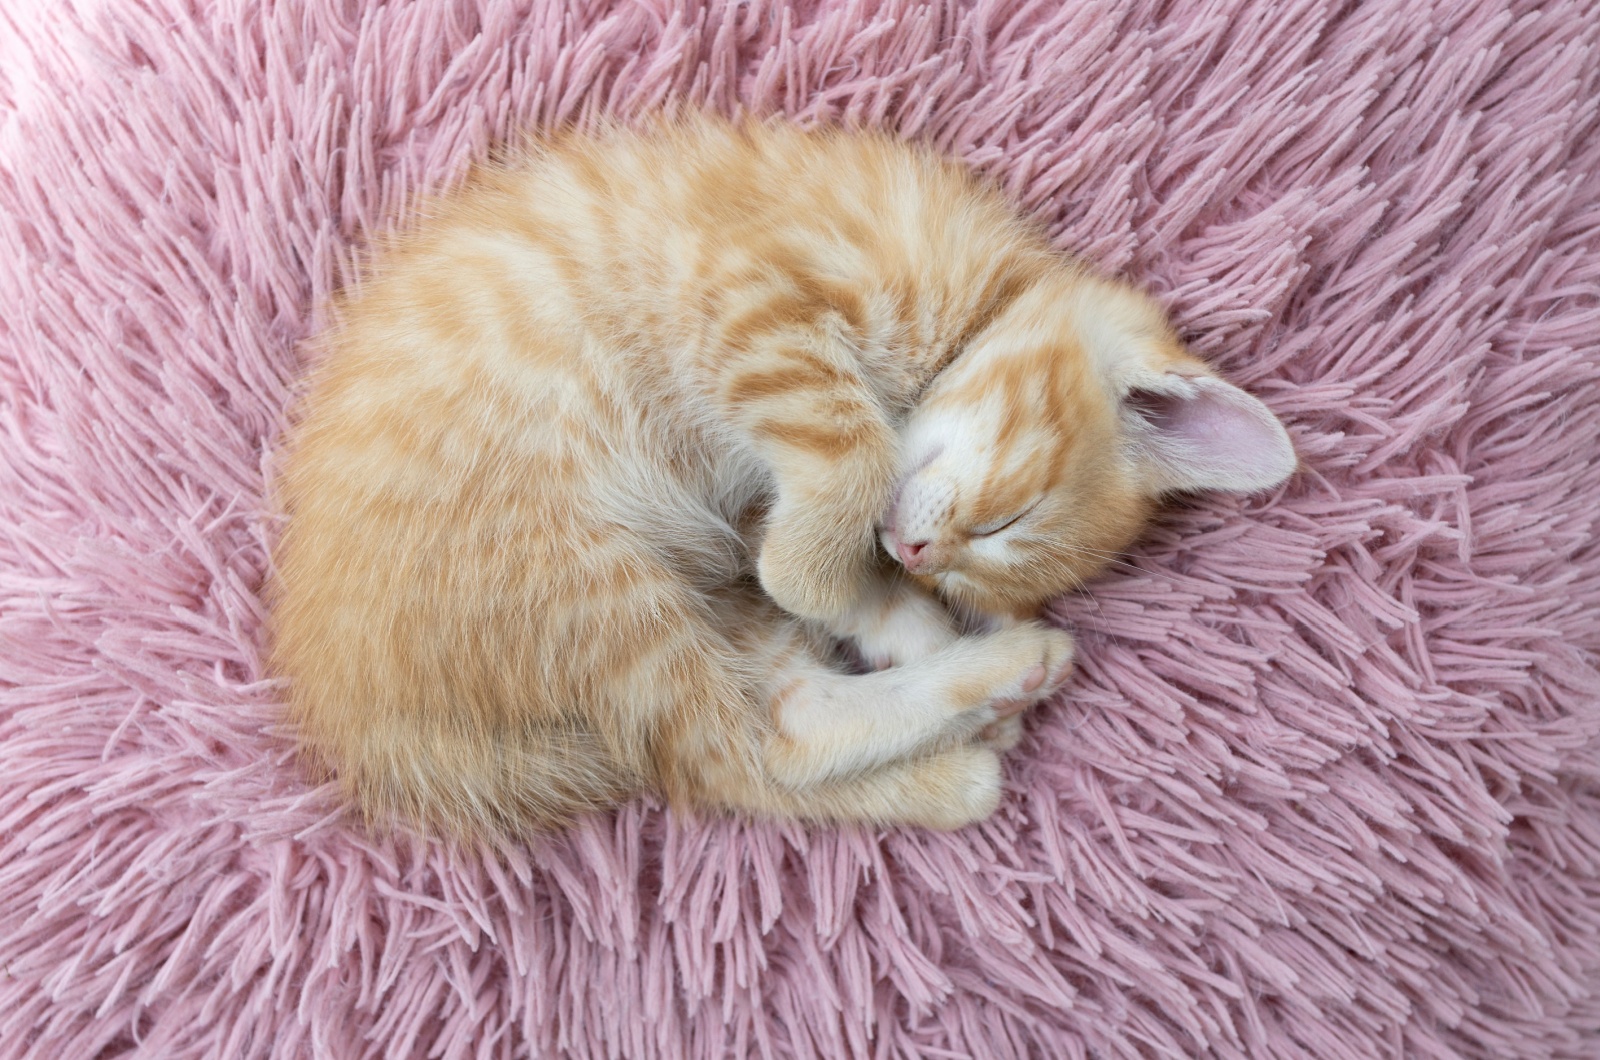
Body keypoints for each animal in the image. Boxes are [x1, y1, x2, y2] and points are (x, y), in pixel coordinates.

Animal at [272, 116, 1299, 845]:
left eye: (975, 562)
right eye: (1011, 518)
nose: (920, 554)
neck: (982, 292)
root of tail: (359, 712)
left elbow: (840, 538)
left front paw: (899, 613)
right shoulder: (752, 307)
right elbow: (852, 463)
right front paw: (826, 579)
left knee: (778, 725)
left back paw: (981, 712)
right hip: (580, 576)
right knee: (747, 756)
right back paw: (992, 704)